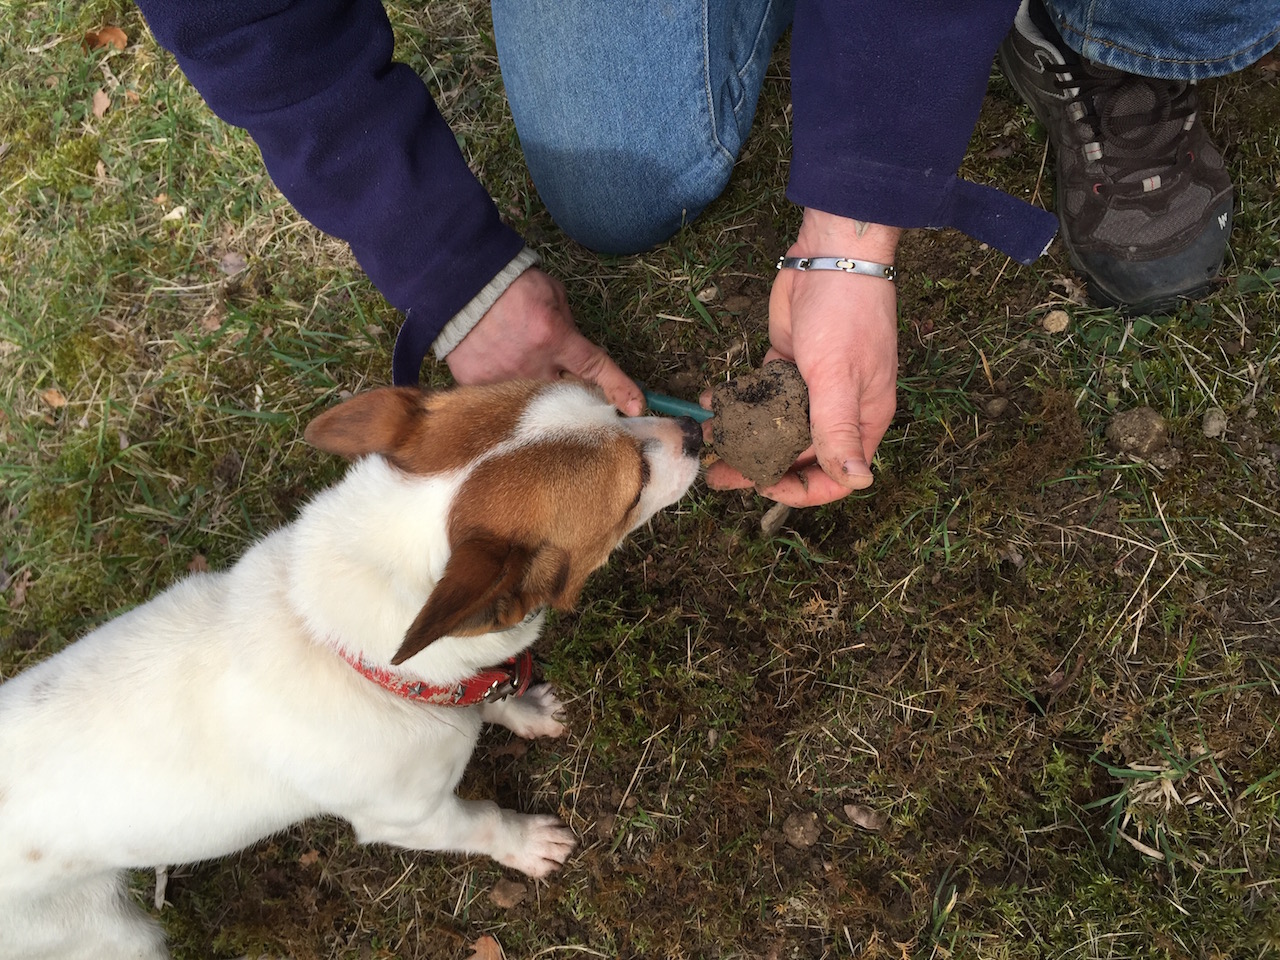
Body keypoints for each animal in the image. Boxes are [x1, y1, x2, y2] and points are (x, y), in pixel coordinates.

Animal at [0, 378, 701, 960]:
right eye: (634, 484)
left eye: (615, 409)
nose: (695, 431)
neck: (341, 644)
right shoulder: (411, 818)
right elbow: (481, 820)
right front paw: (526, 844)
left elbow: (492, 692)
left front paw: (523, 709)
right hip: (108, 935)